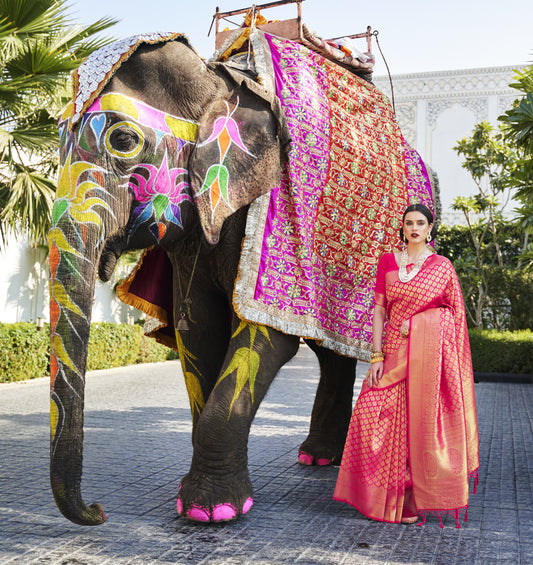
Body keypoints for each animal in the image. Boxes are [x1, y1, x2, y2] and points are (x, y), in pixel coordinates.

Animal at [48, 29, 436, 524]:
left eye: (123, 139)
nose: (99, 511)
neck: (219, 81)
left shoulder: (272, 216)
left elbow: (261, 337)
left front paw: (210, 511)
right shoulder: (193, 237)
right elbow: (196, 332)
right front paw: (198, 501)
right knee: (330, 350)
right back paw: (318, 457)